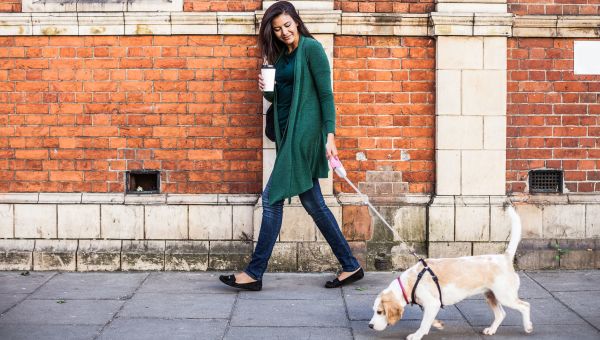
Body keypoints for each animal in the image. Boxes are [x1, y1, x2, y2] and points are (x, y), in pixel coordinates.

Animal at [368, 206, 532, 338]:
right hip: (491, 295)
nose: (370, 326)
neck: (410, 282)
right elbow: (428, 320)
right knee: (501, 314)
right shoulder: (430, 306)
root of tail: (505, 257)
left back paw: (528, 326)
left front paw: (417, 335)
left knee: (525, 306)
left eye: (380, 312)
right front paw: (436, 324)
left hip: (505, 296)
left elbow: (423, 323)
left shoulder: (432, 303)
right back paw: (491, 330)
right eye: (374, 310)